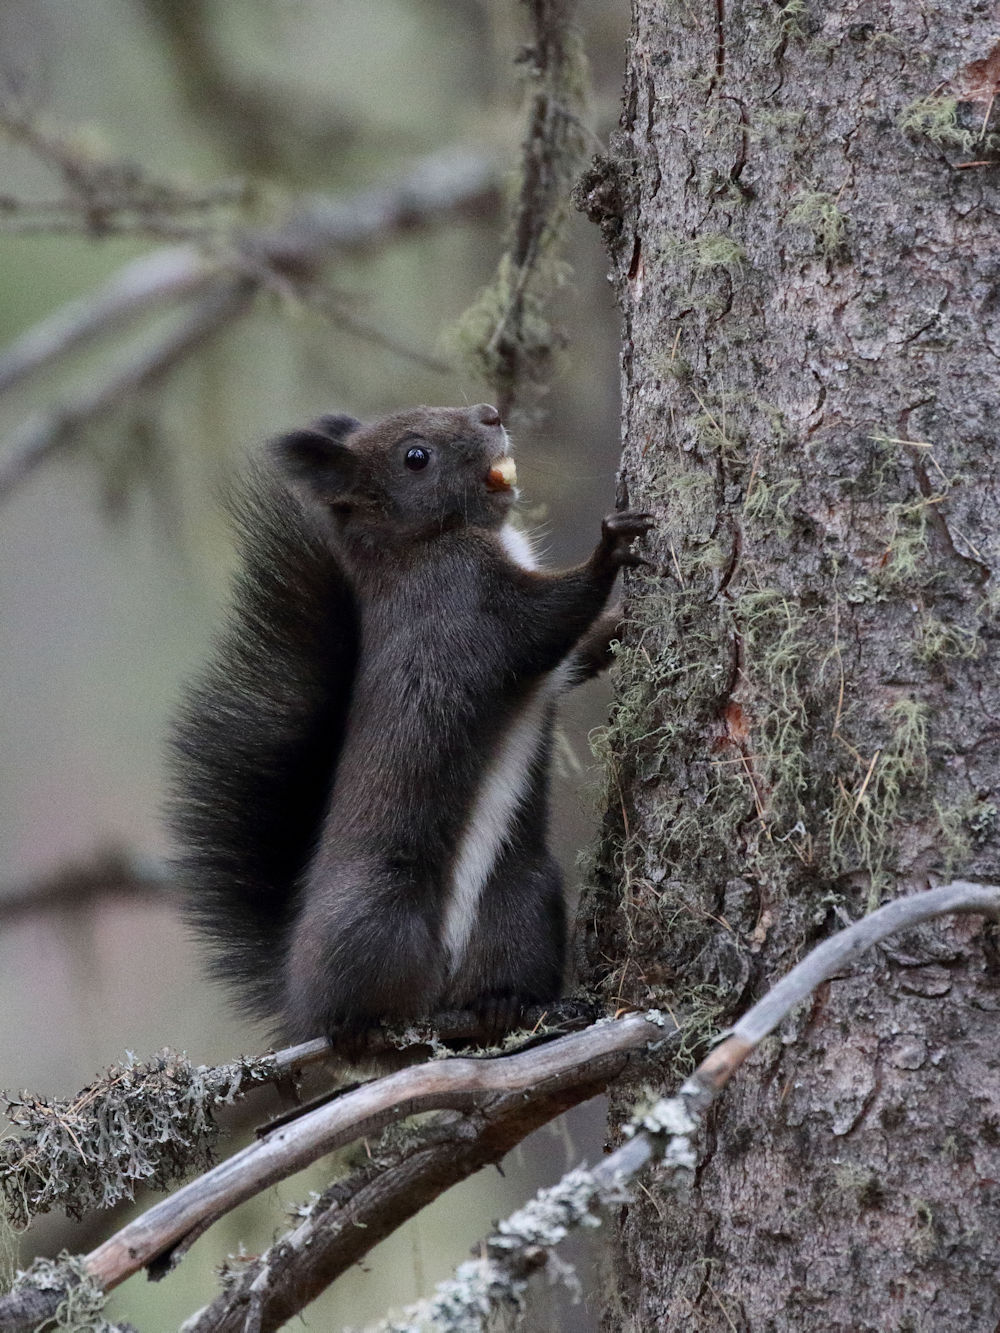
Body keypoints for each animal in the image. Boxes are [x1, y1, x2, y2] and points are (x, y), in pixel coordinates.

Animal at [168, 403, 653, 1045]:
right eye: (415, 457)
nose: (490, 413)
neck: (419, 547)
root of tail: (298, 1003)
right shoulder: (470, 606)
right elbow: (550, 618)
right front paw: (610, 549)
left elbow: (580, 649)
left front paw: (620, 619)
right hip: (379, 918)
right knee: (369, 1011)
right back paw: (376, 1023)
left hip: (524, 903)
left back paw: (510, 1007)